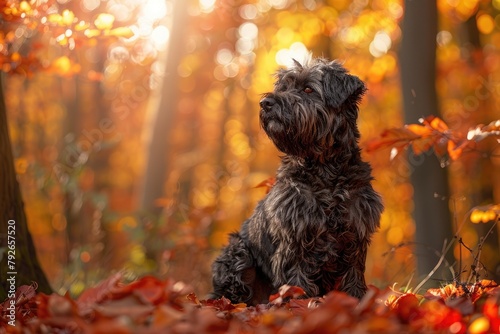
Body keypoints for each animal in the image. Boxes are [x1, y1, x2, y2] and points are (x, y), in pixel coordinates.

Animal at [209, 58, 380, 306]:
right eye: (283, 88)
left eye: (308, 89)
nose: (265, 103)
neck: (324, 170)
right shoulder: (294, 237)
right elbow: (296, 280)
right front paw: (296, 306)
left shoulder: (355, 233)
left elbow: (353, 278)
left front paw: (356, 303)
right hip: (237, 254)